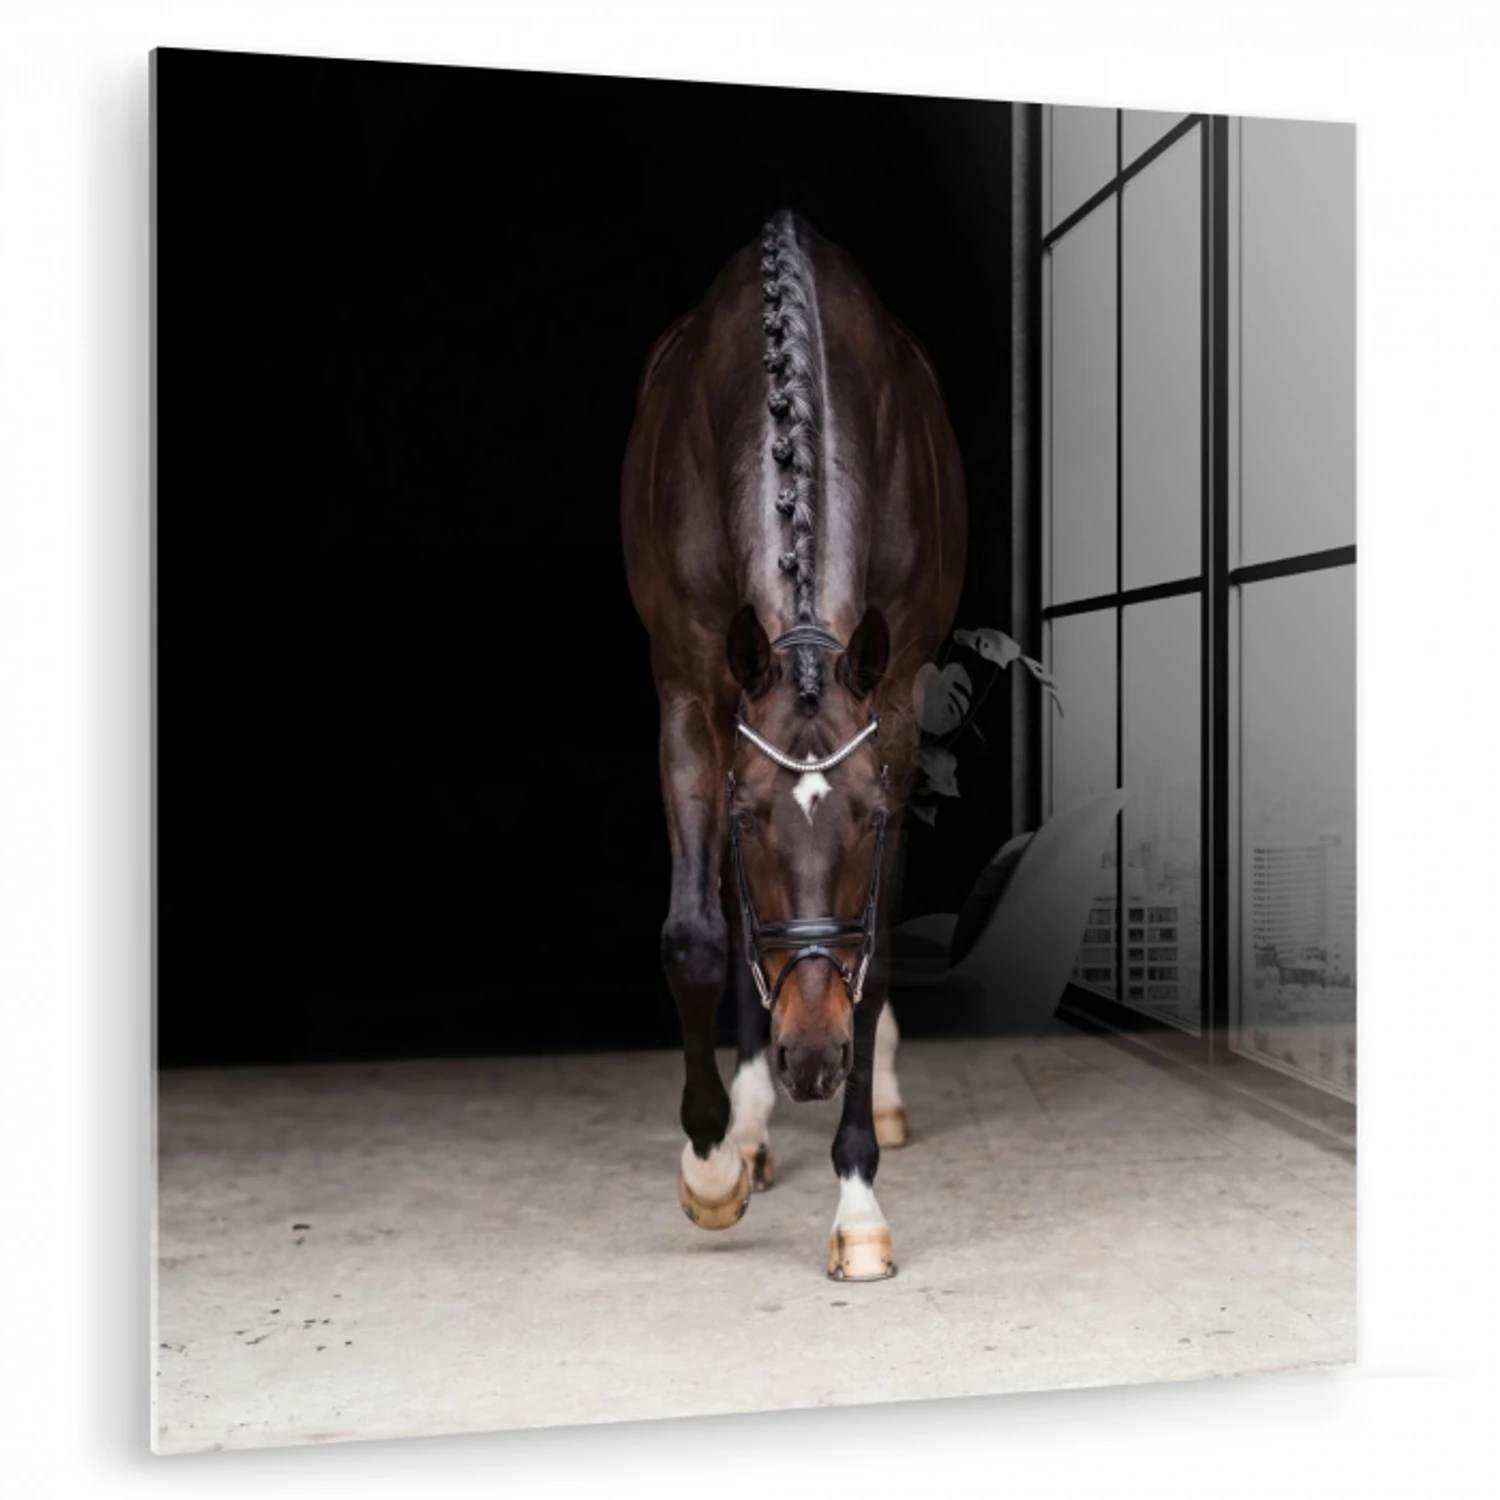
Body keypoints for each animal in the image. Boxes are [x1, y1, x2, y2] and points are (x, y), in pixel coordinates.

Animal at [621, 210, 967, 1280]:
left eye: (869, 817)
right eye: (747, 818)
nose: (813, 1060)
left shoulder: (893, 699)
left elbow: (874, 950)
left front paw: (857, 1202)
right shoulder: (692, 696)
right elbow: (697, 937)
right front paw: (712, 1165)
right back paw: (751, 1125)